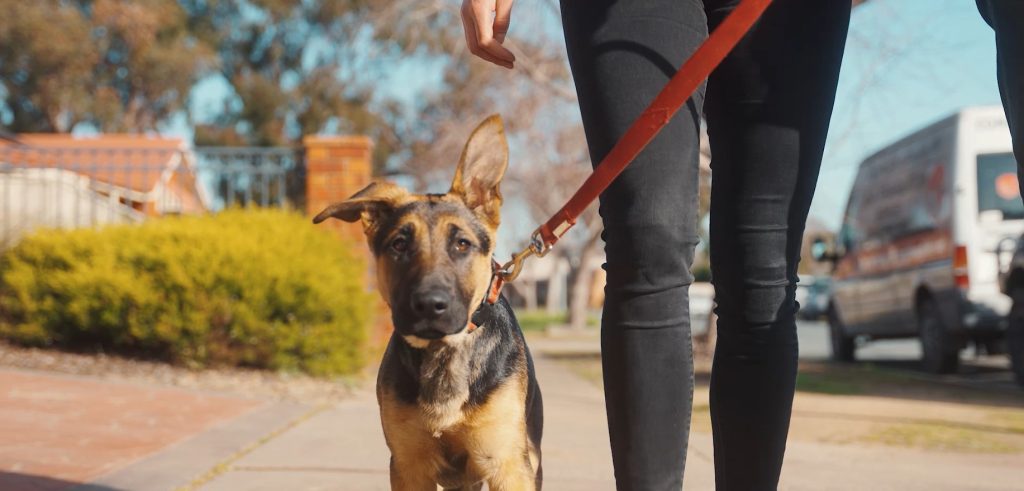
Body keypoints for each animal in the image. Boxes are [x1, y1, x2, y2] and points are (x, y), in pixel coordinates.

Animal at [313, 116, 544, 491]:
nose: (428, 305)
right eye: (399, 244)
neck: (443, 352)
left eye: (462, 244)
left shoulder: (507, 465)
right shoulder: (409, 465)